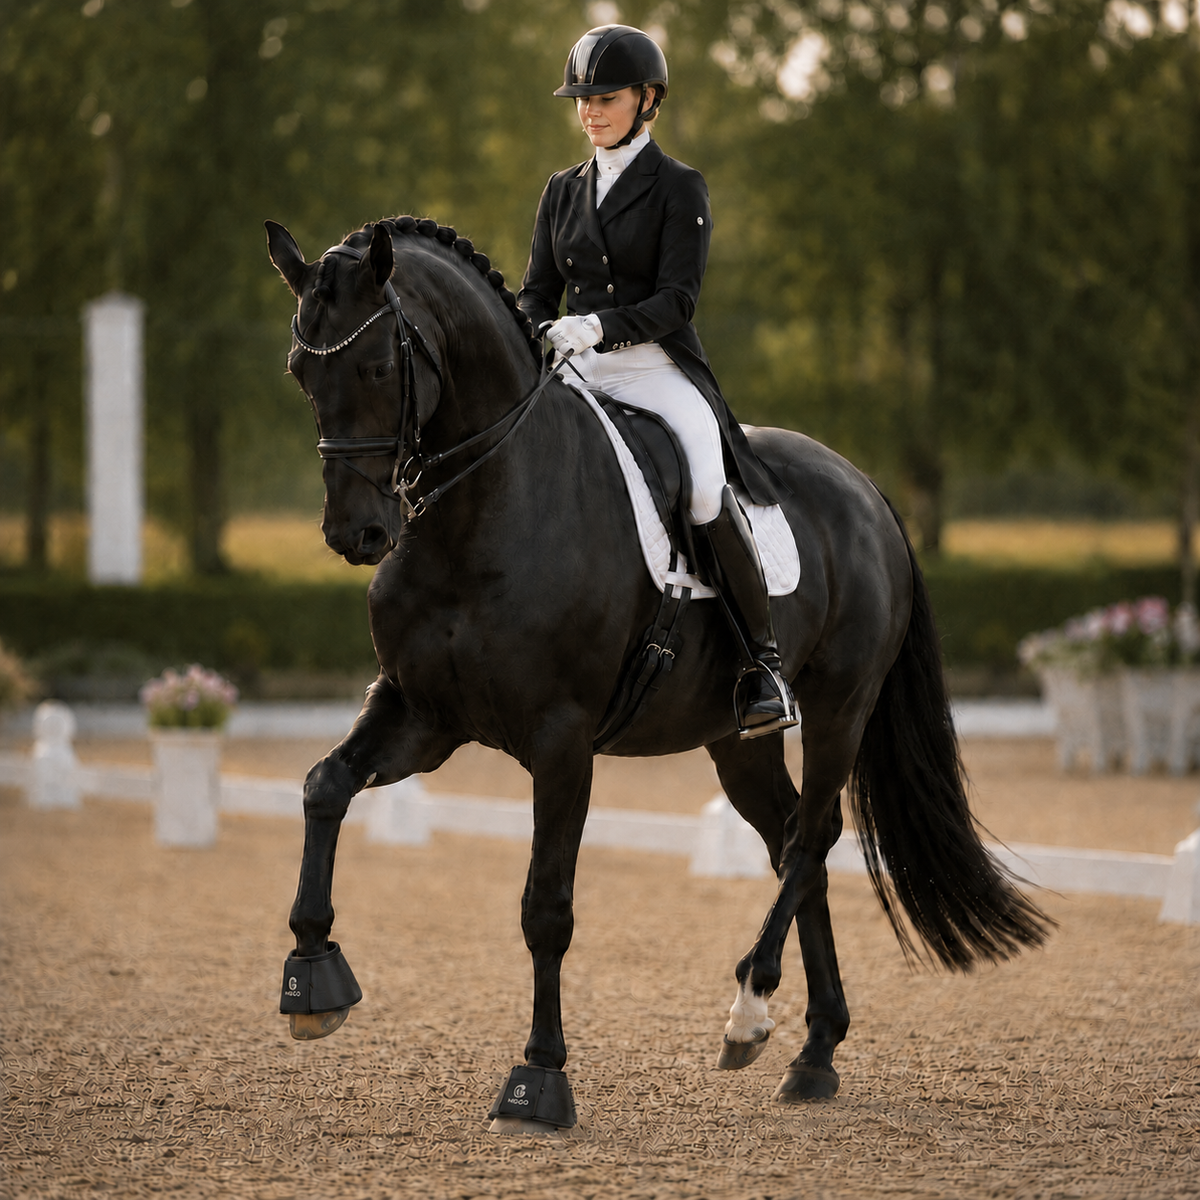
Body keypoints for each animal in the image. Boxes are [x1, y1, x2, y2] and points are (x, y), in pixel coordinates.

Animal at [265, 214, 1050, 1131]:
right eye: (301, 372)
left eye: (380, 368)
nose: (356, 534)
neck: (483, 508)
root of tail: (862, 486)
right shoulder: (422, 714)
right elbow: (323, 786)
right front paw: (312, 977)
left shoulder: (561, 740)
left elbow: (546, 907)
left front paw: (539, 1077)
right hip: (736, 739)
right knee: (791, 837)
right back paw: (813, 1050)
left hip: (840, 706)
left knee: (812, 834)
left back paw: (748, 1010)